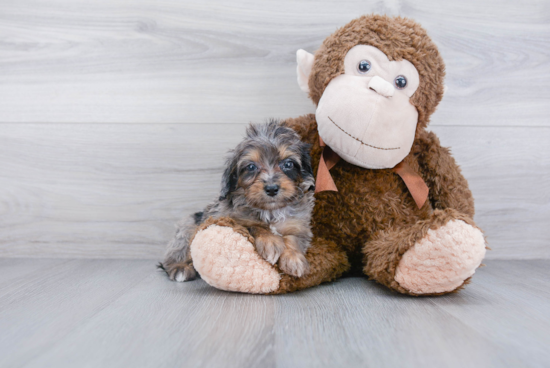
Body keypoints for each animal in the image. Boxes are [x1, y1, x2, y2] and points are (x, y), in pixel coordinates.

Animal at [157, 121, 316, 282]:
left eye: (288, 164)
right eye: (251, 166)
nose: (271, 189)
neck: (271, 211)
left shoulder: (299, 226)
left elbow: (294, 239)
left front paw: (294, 258)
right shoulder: (229, 219)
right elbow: (254, 226)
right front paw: (270, 241)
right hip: (187, 226)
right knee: (176, 252)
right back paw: (180, 268)